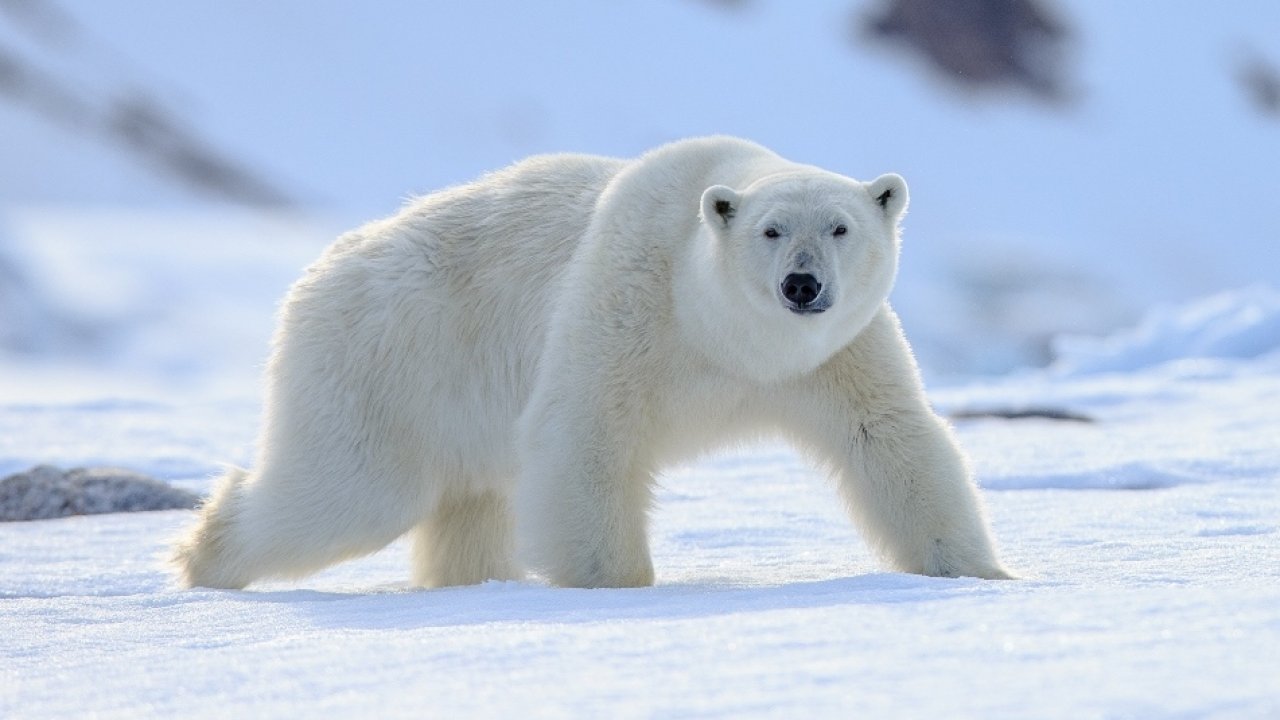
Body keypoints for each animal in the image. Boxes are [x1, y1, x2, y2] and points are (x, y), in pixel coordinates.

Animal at [172, 135, 1008, 589]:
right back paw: (203, 557)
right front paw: (616, 585)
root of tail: (318, 272)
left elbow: (889, 438)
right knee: (347, 491)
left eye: (840, 227)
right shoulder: (628, 301)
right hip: (387, 362)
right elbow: (586, 436)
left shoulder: (835, 355)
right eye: (771, 231)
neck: (724, 337)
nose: (802, 285)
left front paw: (980, 571)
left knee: (467, 504)